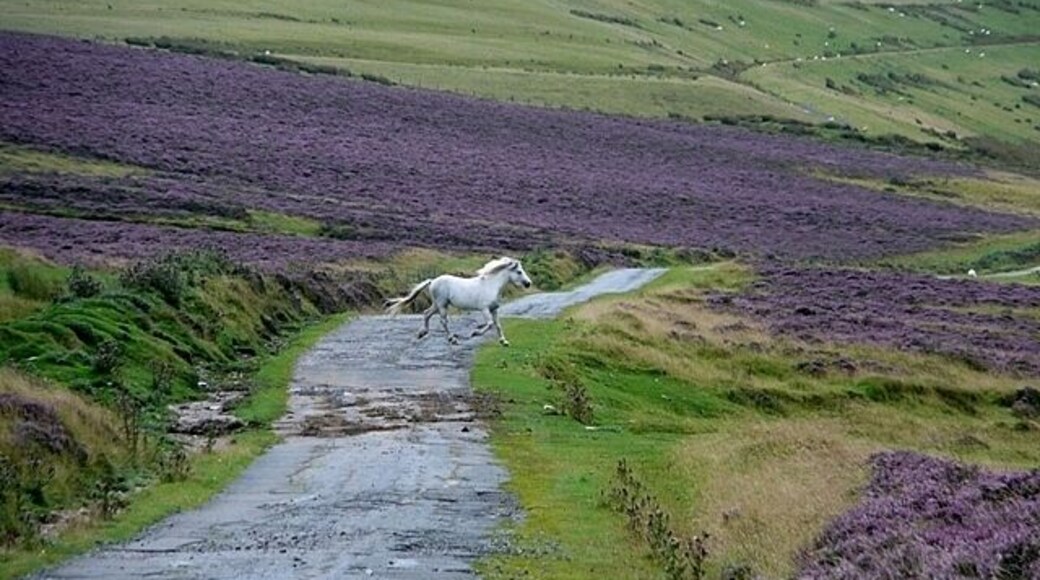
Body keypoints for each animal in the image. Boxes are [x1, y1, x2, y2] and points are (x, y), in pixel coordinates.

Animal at [384, 257, 533, 346]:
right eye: (519, 272)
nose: (528, 284)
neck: (491, 285)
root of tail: (432, 281)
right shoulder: (484, 309)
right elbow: (490, 324)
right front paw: (474, 333)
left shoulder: (494, 309)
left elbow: (498, 325)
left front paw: (504, 341)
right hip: (442, 305)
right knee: (443, 321)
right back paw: (452, 339)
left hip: (437, 304)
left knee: (426, 313)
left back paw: (422, 333)